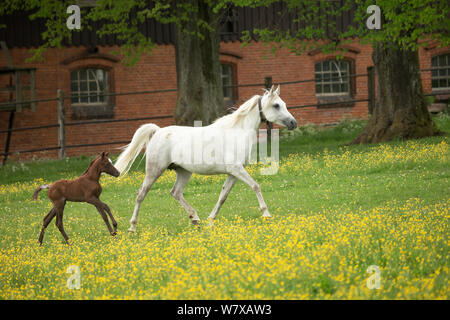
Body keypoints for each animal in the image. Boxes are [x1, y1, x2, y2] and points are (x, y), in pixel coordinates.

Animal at [116, 85, 298, 231]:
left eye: (284, 104)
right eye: (276, 105)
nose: (293, 123)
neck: (237, 132)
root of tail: (157, 131)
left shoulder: (233, 173)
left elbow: (223, 196)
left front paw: (210, 221)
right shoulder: (236, 169)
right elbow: (256, 186)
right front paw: (266, 214)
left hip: (183, 172)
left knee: (176, 192)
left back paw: (196, 220)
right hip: (154, 170)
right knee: (141, 194)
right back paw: (132, 227)